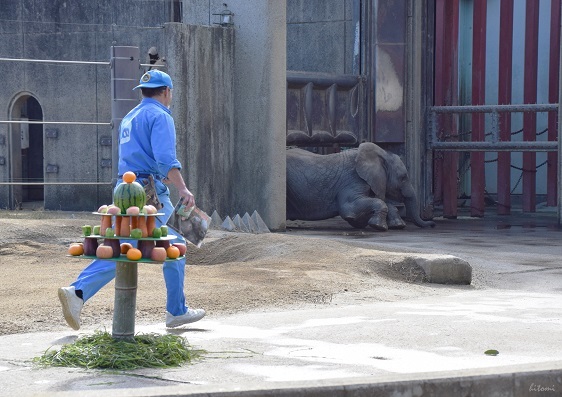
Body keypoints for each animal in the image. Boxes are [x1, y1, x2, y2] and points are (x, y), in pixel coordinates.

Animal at [284, 142, 434, 230]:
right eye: (403, 178)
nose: (431, 224)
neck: (381, 155)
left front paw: (397, 226)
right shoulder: (353, 179)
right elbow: (348, 208)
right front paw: (379, 227)